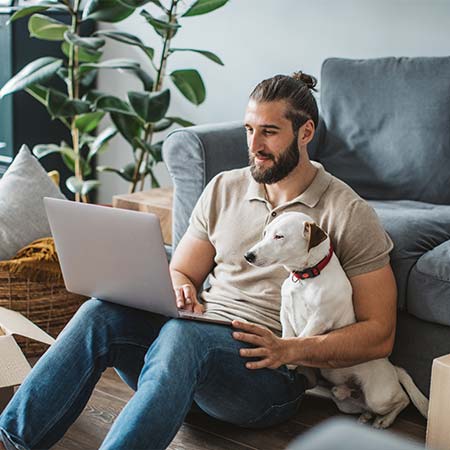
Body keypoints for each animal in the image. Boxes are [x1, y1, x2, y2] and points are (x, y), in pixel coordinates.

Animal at [246, 212, 428, 428]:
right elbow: (288, 334)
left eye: (279, 236)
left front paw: (286, 359)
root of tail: (393, 368)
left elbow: (301, 337)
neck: (306, 277)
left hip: (379, 397)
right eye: (265, 233)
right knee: (358, 402)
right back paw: (362, 409)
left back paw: (384, 420)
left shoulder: (320, 319)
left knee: (402, 400)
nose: (248, 255)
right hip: (346, 403)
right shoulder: (286, 312)